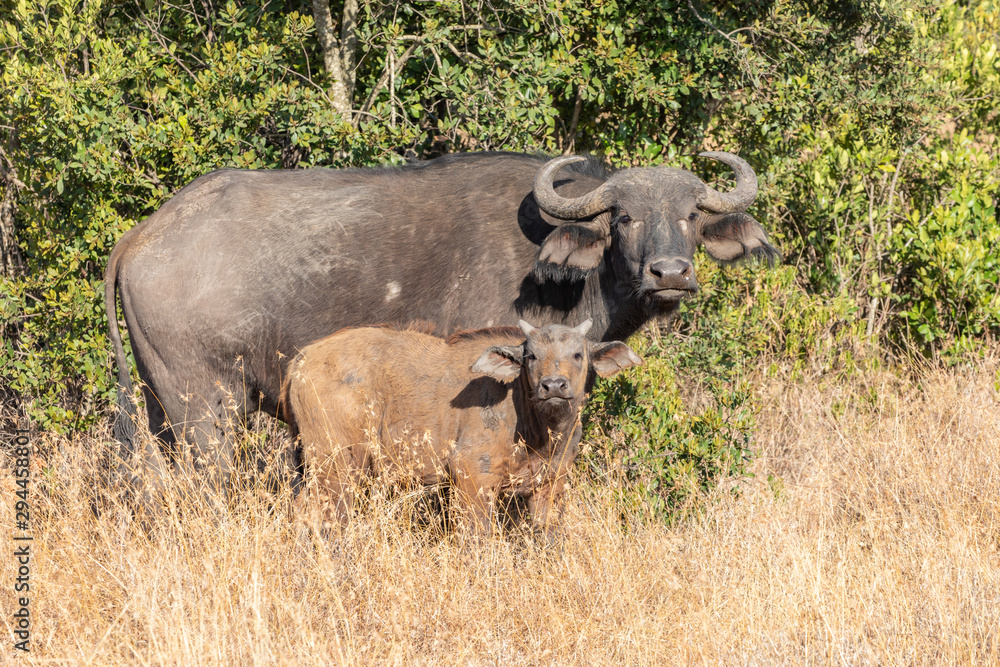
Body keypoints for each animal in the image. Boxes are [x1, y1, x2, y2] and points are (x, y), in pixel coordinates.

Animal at [105, 153, 776, 490]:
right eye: (626, 217)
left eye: (691, 214)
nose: (670, 273)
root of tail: (142, 234)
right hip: (204, 410)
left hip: (160, 406)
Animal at [284, 320, 640, 536]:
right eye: (531, 357)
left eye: (578, 354)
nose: (553, 386)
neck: (538, 430)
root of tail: (302, 358)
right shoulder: (472, 477)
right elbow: (478, 537)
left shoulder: (551, 485)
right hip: (337, 465)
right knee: (319, 514)